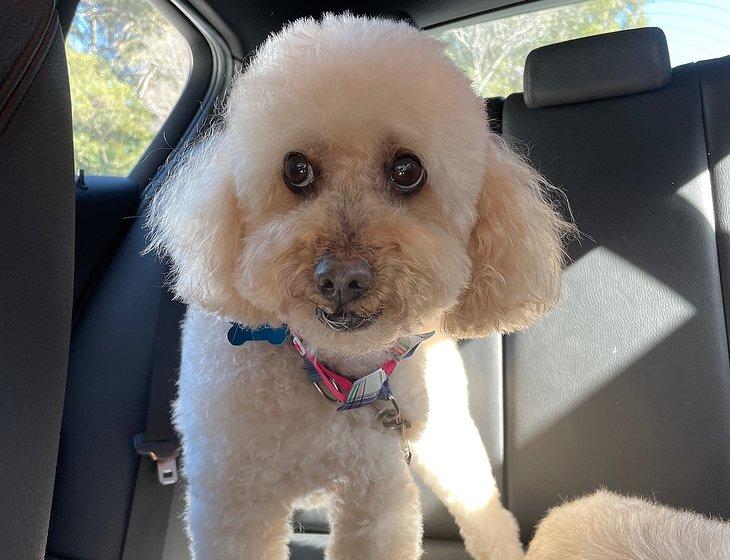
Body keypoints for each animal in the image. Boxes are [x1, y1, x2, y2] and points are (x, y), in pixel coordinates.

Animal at [148, 13, 568, 560]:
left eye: (407, 170)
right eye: (296, 168)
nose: (342, 277)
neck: (331, 375)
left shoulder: (378, 495)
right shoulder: (233, 498)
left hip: (446, 436)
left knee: (485, 508)